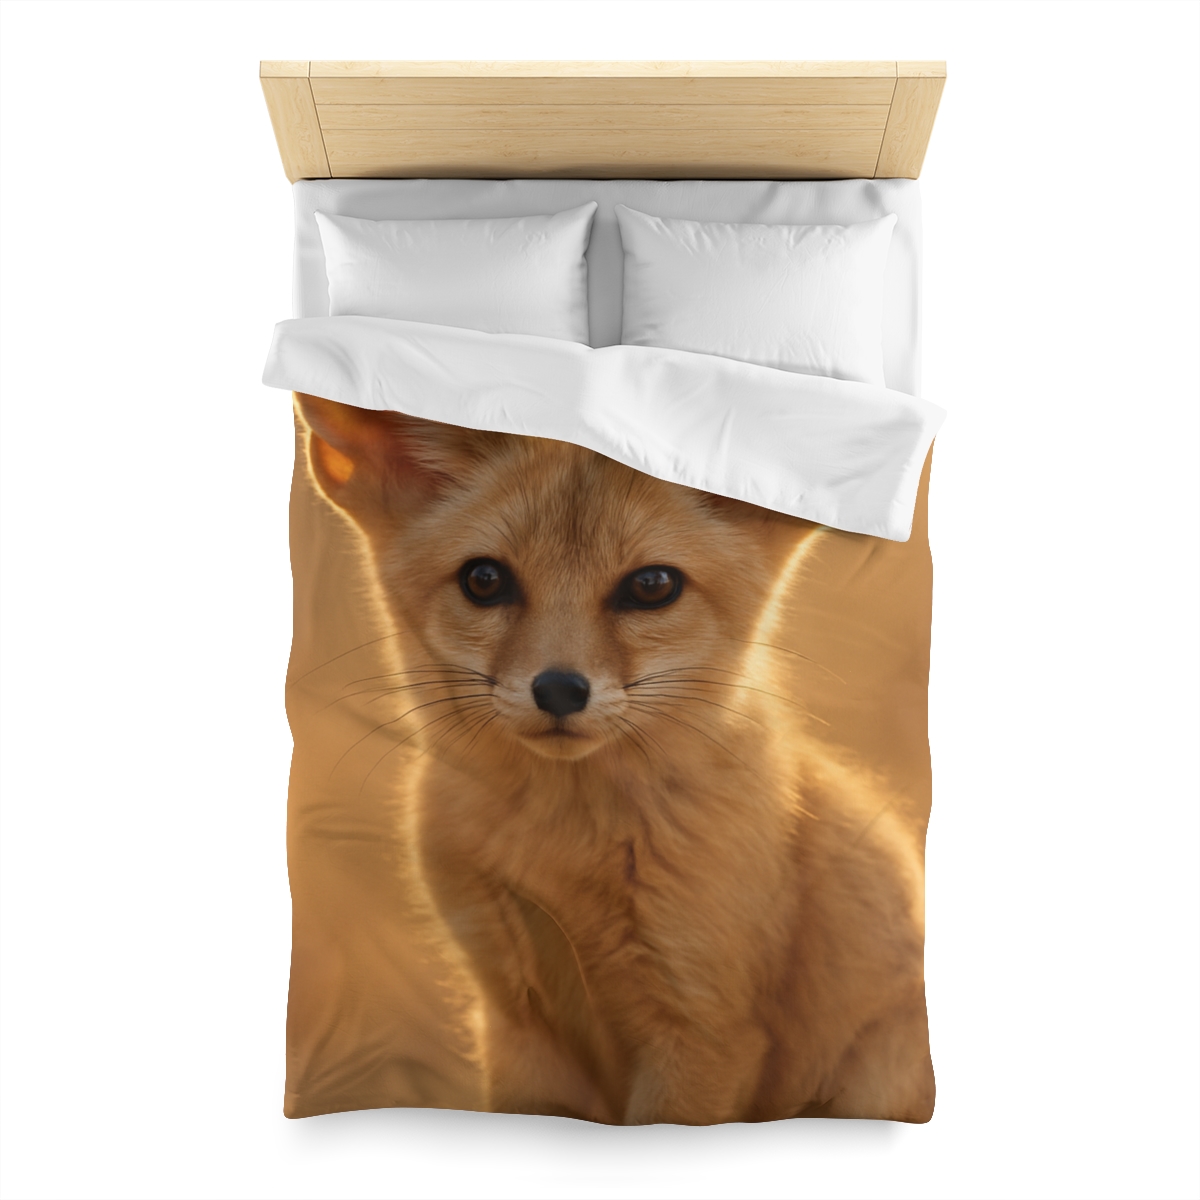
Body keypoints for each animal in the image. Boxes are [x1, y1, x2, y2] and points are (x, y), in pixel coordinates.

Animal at [294, 391, 934, 1125]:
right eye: (484, 580)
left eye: (652, 586)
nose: (559, 690)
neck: (562, 854)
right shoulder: (516, 1020)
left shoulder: (703, 1029)